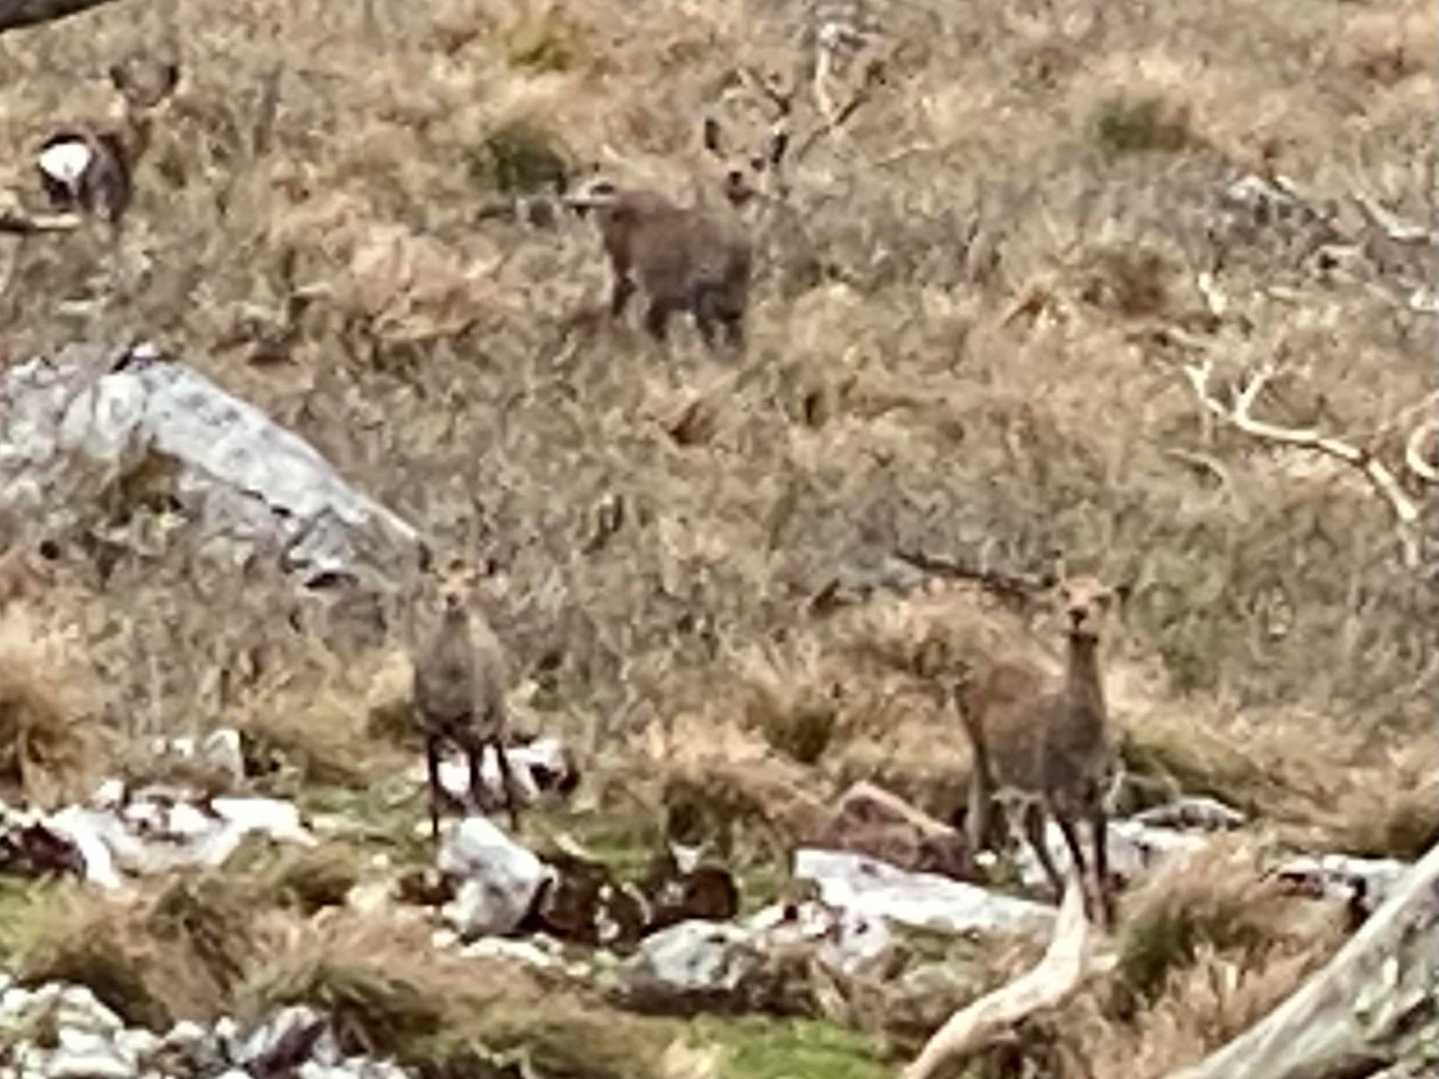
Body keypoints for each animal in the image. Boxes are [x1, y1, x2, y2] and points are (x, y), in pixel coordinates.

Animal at [411, 556, 522, 843]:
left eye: (472, 579)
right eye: (439, 576)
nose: (452, 598)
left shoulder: (473, 723)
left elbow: (474, 783)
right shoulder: (427, 725)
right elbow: (434, 787)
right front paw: (435, 835)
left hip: (498, 720)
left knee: (502, 768)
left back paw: (515, 824)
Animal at [956, 565, 1127, 929]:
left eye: (1102, 597)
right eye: (1065, 591)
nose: (1077, 614)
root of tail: (964, 678)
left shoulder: (1099, 795)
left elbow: (1100, 860)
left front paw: (1110, 917)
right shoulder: (1055, 793)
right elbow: (1079, 858)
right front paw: (1089, 913)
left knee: (1031, 832)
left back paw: (1054, 887)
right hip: (981, 750)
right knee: (978, 811)